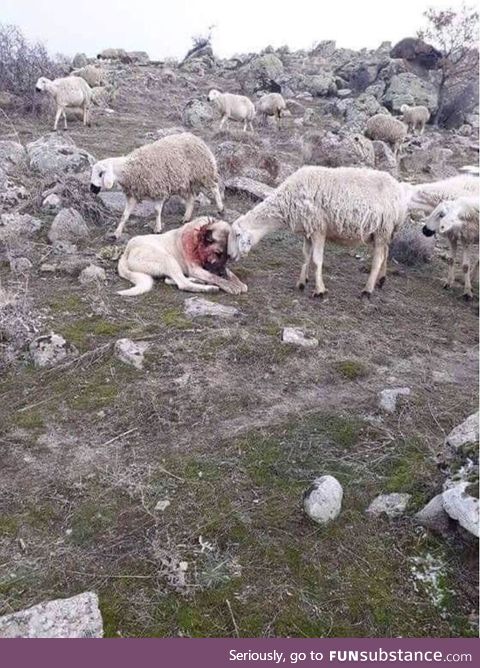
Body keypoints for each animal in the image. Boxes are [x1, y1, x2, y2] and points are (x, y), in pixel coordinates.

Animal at [89, 132, 223, 239]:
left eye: (100, 174)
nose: (92, 189)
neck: (130, 169)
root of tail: (195, 137)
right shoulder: (133, 195)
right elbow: (124, 215)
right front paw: (117, 233)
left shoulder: (159, 190)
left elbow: (157, 211)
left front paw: (157, 228)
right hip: (185, 183)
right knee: (191, 198)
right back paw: (186, 217)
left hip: (204, 172)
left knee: (214, 188)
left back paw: (220, 208)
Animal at [116, 217, 248, 294]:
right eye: (217, 253)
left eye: (228, 256)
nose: (222, 273)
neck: (197, 240)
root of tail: (126, 251)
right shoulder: (196, 269)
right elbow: (214, 277)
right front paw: (229, 285)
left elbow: (230, 273)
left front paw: (238, 282)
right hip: (167, 259)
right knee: (182, 284)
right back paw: (209, 288)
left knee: (170, 280)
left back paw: (199, 281)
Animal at [228, 164, 408, 298]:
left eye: (237, 235)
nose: (229, 256)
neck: (286, 201)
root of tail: (399, 191)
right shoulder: (308, 231)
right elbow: (306, 256)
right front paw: (302, 282)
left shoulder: (318, 229)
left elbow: (316, 259)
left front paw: (319, 290)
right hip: (380, 232)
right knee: (385, 252)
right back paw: (381, 280)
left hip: (382, 229)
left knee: (378, 259)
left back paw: (367, 290)